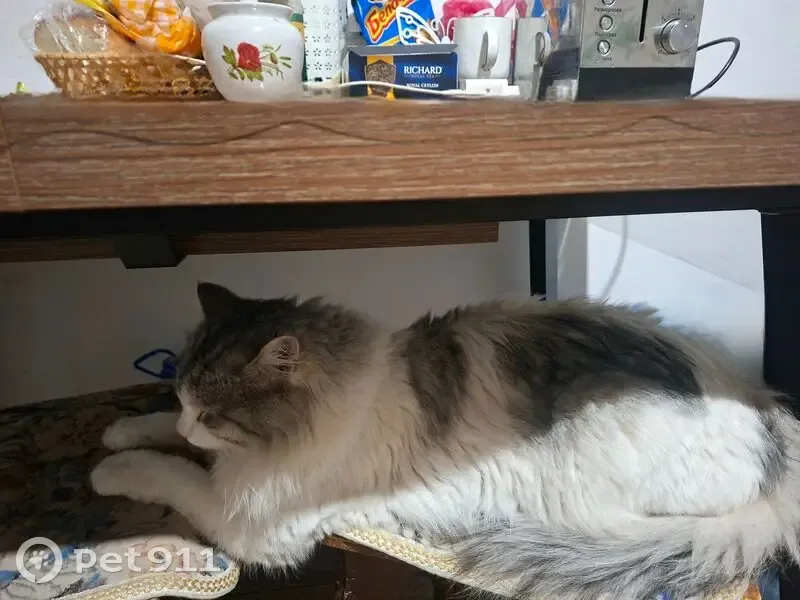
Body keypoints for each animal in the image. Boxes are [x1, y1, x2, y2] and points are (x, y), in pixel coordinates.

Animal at [91, 282, 800, 600]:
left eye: (213, 413)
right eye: (182, 395)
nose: (193, 424)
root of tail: (767, 420)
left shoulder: (253, 524)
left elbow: (169, 471)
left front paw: (109, 469)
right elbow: (158, 436)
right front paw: (119, 428)